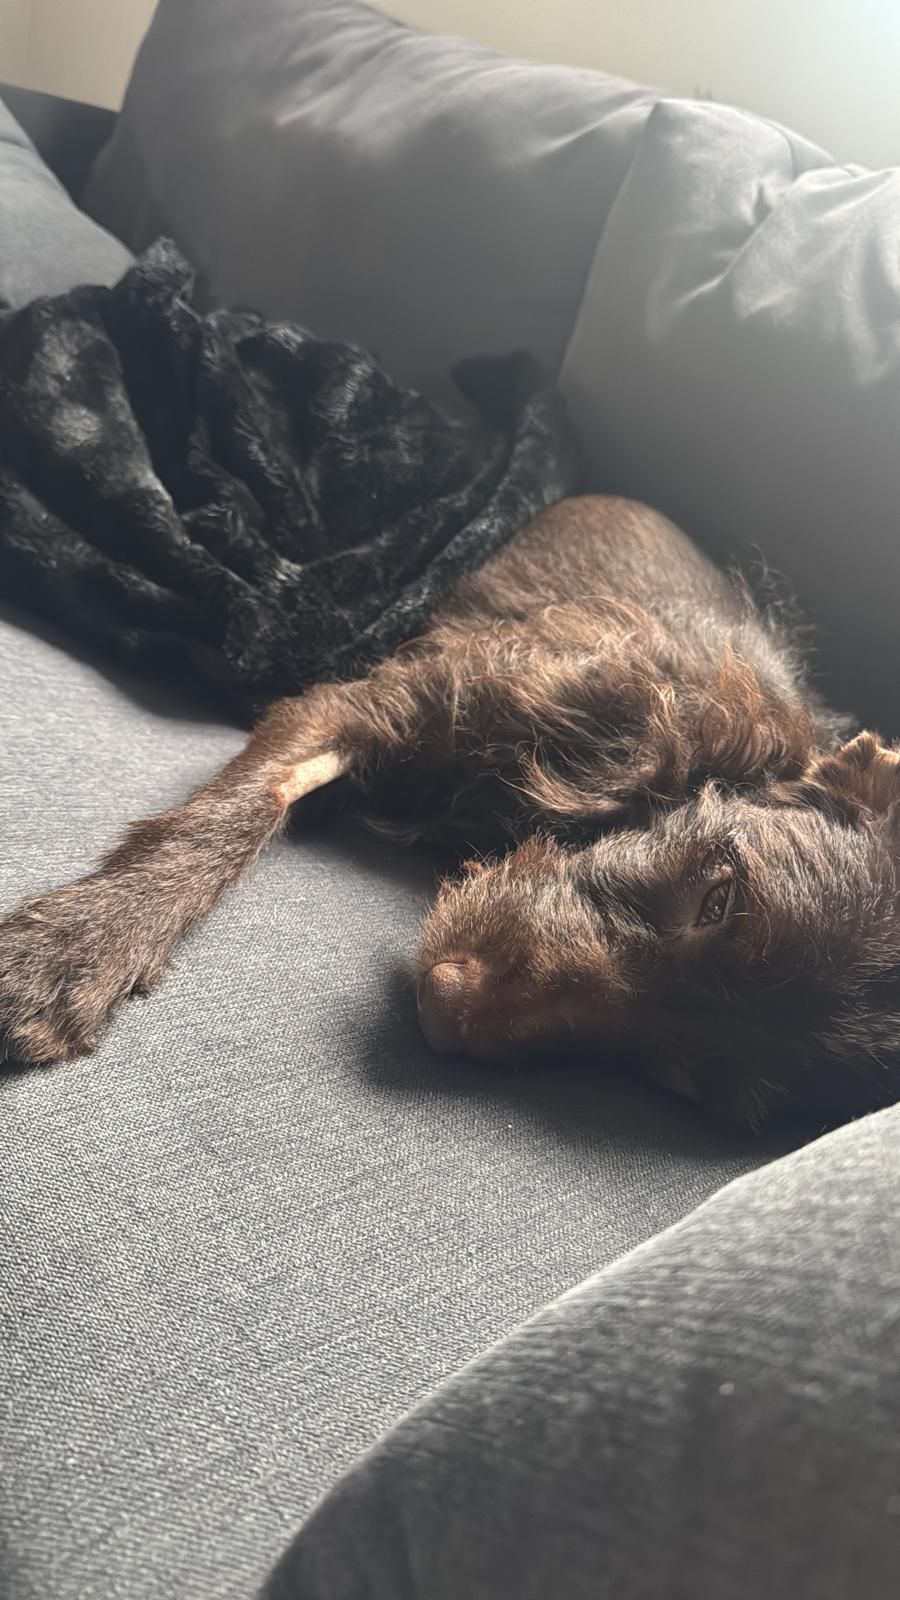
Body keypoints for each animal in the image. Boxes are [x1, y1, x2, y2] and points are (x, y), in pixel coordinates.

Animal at [2, 495, 899, 1126]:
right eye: (719, 898)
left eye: (681, 1079)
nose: (441, 1007)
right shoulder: (373, 704)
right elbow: (250, 805)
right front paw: (78, 946)